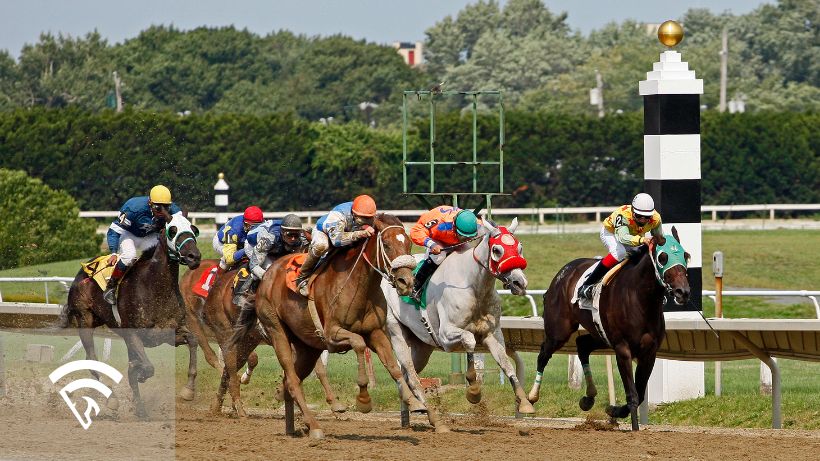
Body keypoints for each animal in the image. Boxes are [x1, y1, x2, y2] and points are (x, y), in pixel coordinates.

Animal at [60, 212, 202, 416]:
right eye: (172, 230)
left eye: (194, 229)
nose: (194, 256)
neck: (155, 287)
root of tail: (83, 272)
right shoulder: (134, 334)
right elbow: (147, 368)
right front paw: (139, 373)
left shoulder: (168, 333)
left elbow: (193, 340)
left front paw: (188, 390)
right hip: (84, 320)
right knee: (91, 359)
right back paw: (112, 399)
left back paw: (140, 408)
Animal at [255, 212, 422, 438]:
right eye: (386, 245)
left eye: (409, 244)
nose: (406, 282)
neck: (359, 286)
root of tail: (267, 275)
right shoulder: (332, 333)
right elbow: (359, 343)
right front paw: (363, 400)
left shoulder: (376, 332)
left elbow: (393, 366)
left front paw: (414, 401)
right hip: (277, 332)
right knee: (292, 379)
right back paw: (314, 426)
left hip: (307, 347)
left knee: (290, 380)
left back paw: (293, 425)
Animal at [380, 217, 532, 430]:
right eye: (497, 250)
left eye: (519, 247)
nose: (520, 283)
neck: (474, 286)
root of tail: (388, 277)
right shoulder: (446, 336)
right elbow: (469, 340)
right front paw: (473, 390)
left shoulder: (492, 334)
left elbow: (506, 363)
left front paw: (524, 402)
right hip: (397, 334)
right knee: (411, 375)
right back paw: (432, 417)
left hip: (422, 346)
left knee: (407, 375)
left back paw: (410, 411)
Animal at [524, 226, 692, 432]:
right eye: (662, 257)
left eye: (685, 255)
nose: (682, 292)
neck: (640, 299)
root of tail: (563, 272)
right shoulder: (622, 349)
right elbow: (633, 394)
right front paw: (633, 427)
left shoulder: (649, 352)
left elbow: (640, 393)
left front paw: (614, 410)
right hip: (559, 331)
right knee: (543, 354)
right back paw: (531, 398)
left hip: (600, 334)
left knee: (582, 344)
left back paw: (588, 397)